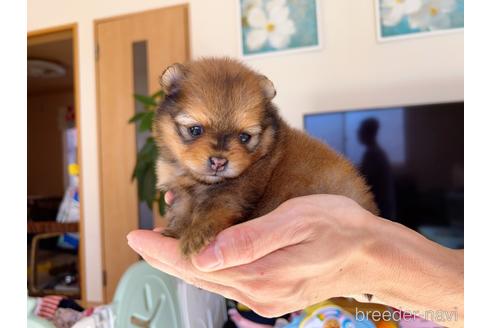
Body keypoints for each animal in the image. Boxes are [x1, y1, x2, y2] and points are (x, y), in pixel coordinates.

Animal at [154, 57, 376, 255]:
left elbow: (213, 207)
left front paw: (195, 235)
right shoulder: (181, 191)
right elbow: (181, 210)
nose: (219, 162)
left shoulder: (236, 189)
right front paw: (176, 230)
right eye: (195, 130)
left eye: (244, 137)